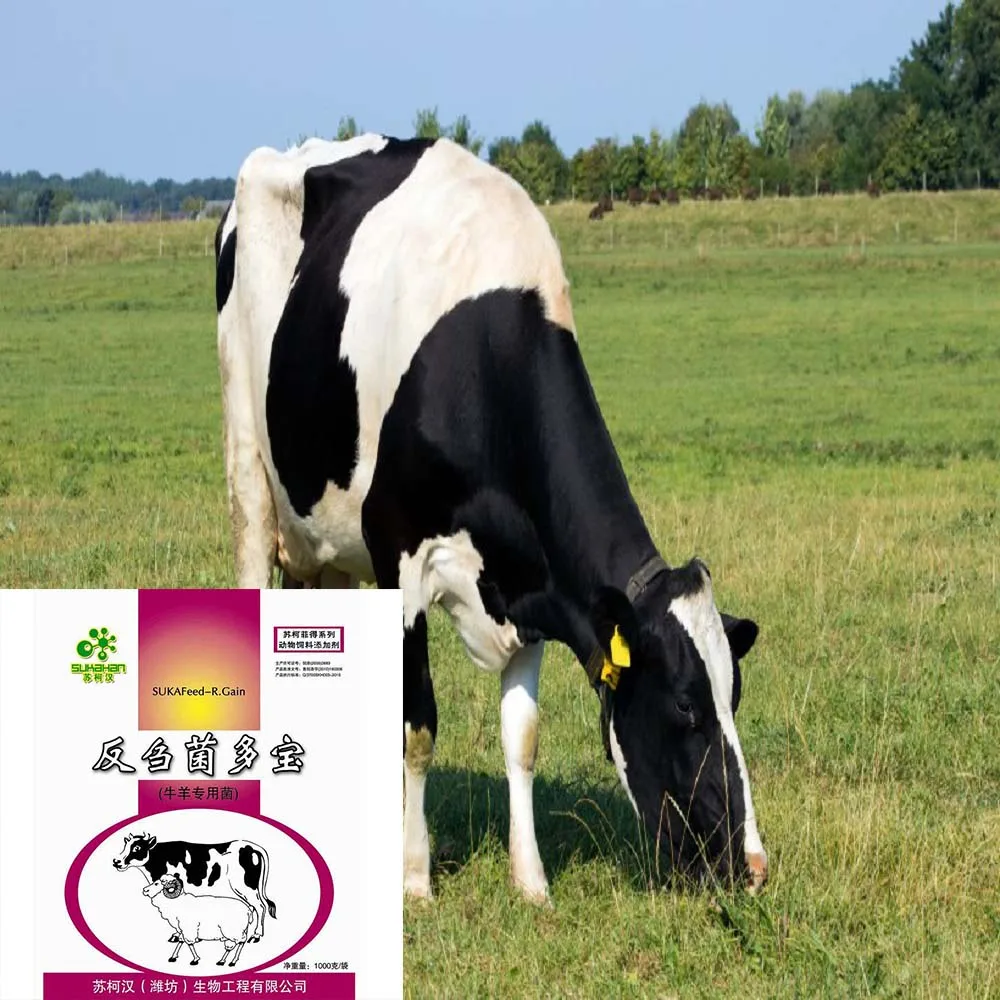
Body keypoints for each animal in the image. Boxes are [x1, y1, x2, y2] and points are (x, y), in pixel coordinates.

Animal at [112, 833, 276, 942]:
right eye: (125, 845)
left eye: (137, 847)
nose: (116, 861)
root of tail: (253, 847)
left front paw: (179, 935)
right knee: (254, 907)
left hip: (246, 887)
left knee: (260, 906)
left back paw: (256, 935)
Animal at [215, 134, 768, 905]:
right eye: (687, 705)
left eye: (734, 697)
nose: (752, 867)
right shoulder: (401, 560)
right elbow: (417, 726)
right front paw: (415, 877)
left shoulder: (535, 583)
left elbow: (523, 737)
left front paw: (531, 882)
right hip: (248, 459)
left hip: (325, 543)